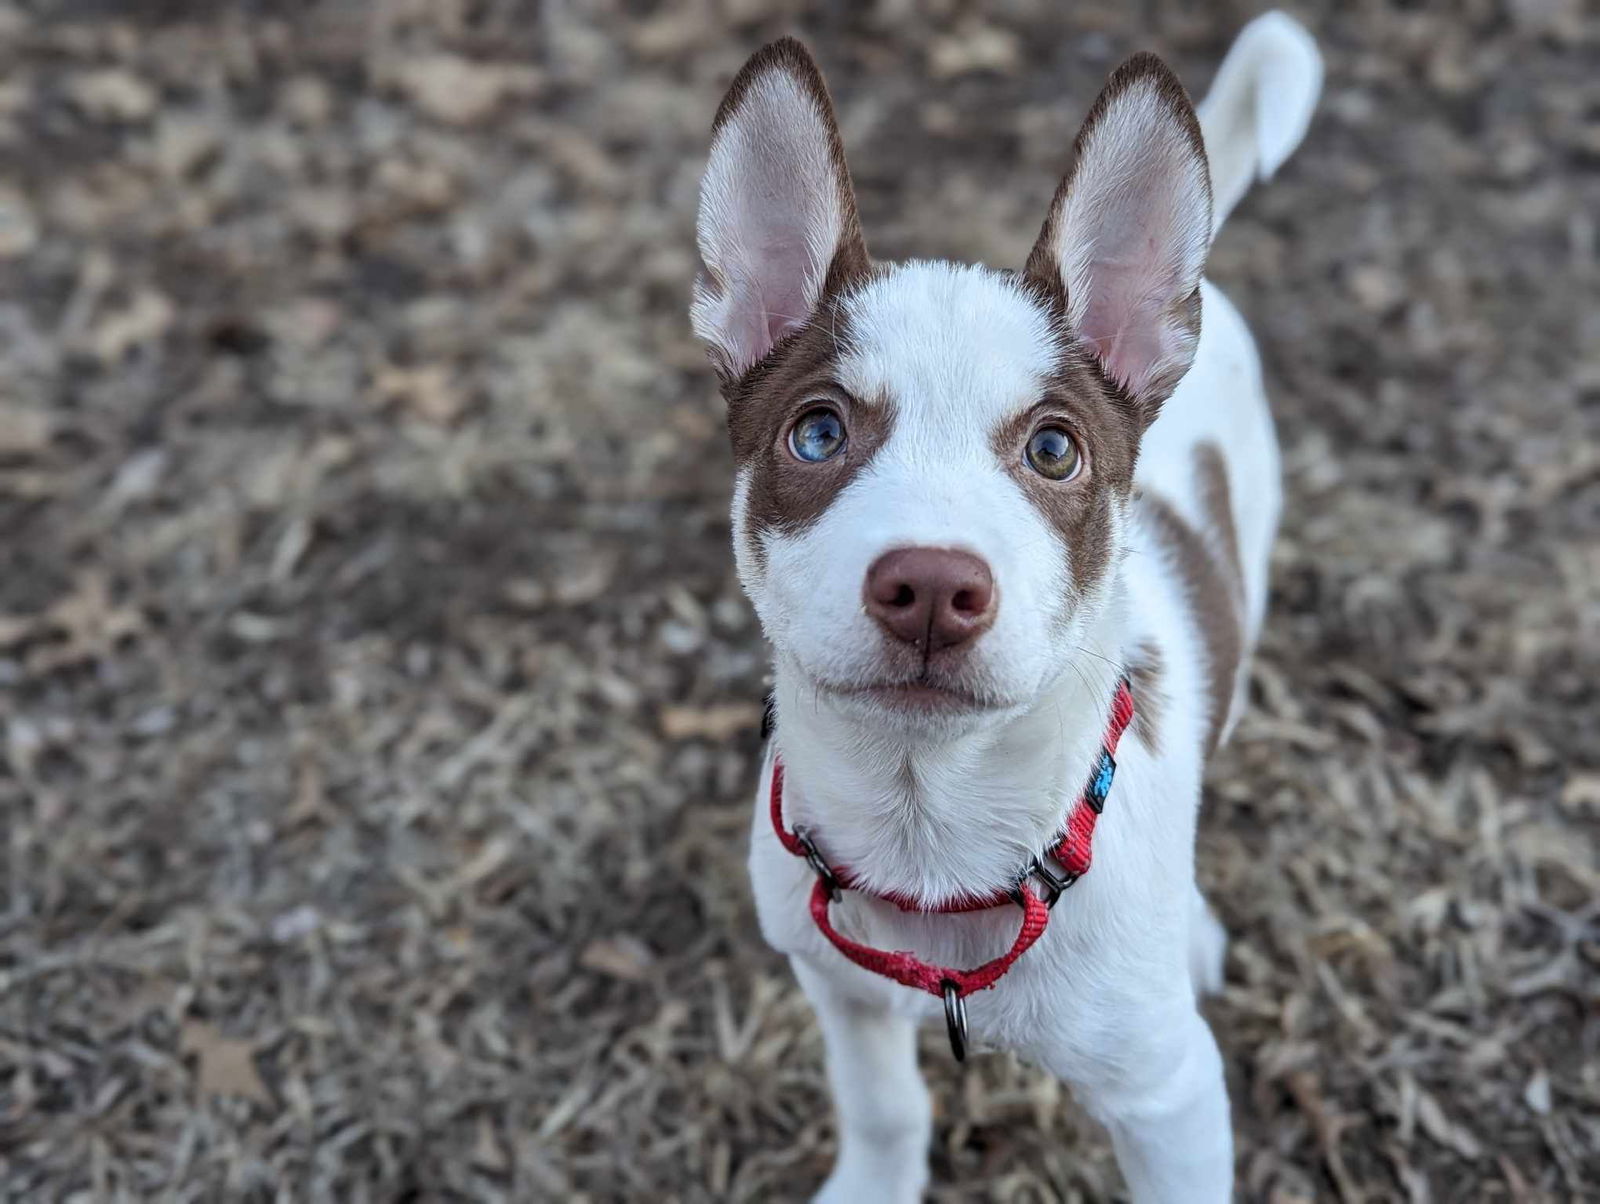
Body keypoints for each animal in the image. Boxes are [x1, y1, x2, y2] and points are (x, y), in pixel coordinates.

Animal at [688, 11, 1324, 1204]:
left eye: (1053, 449)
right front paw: (872, 1183)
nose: (932, 586)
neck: (930, 836)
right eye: (816, 433)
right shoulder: (836, 989)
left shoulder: (1170, 1097)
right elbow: (885, 1104)